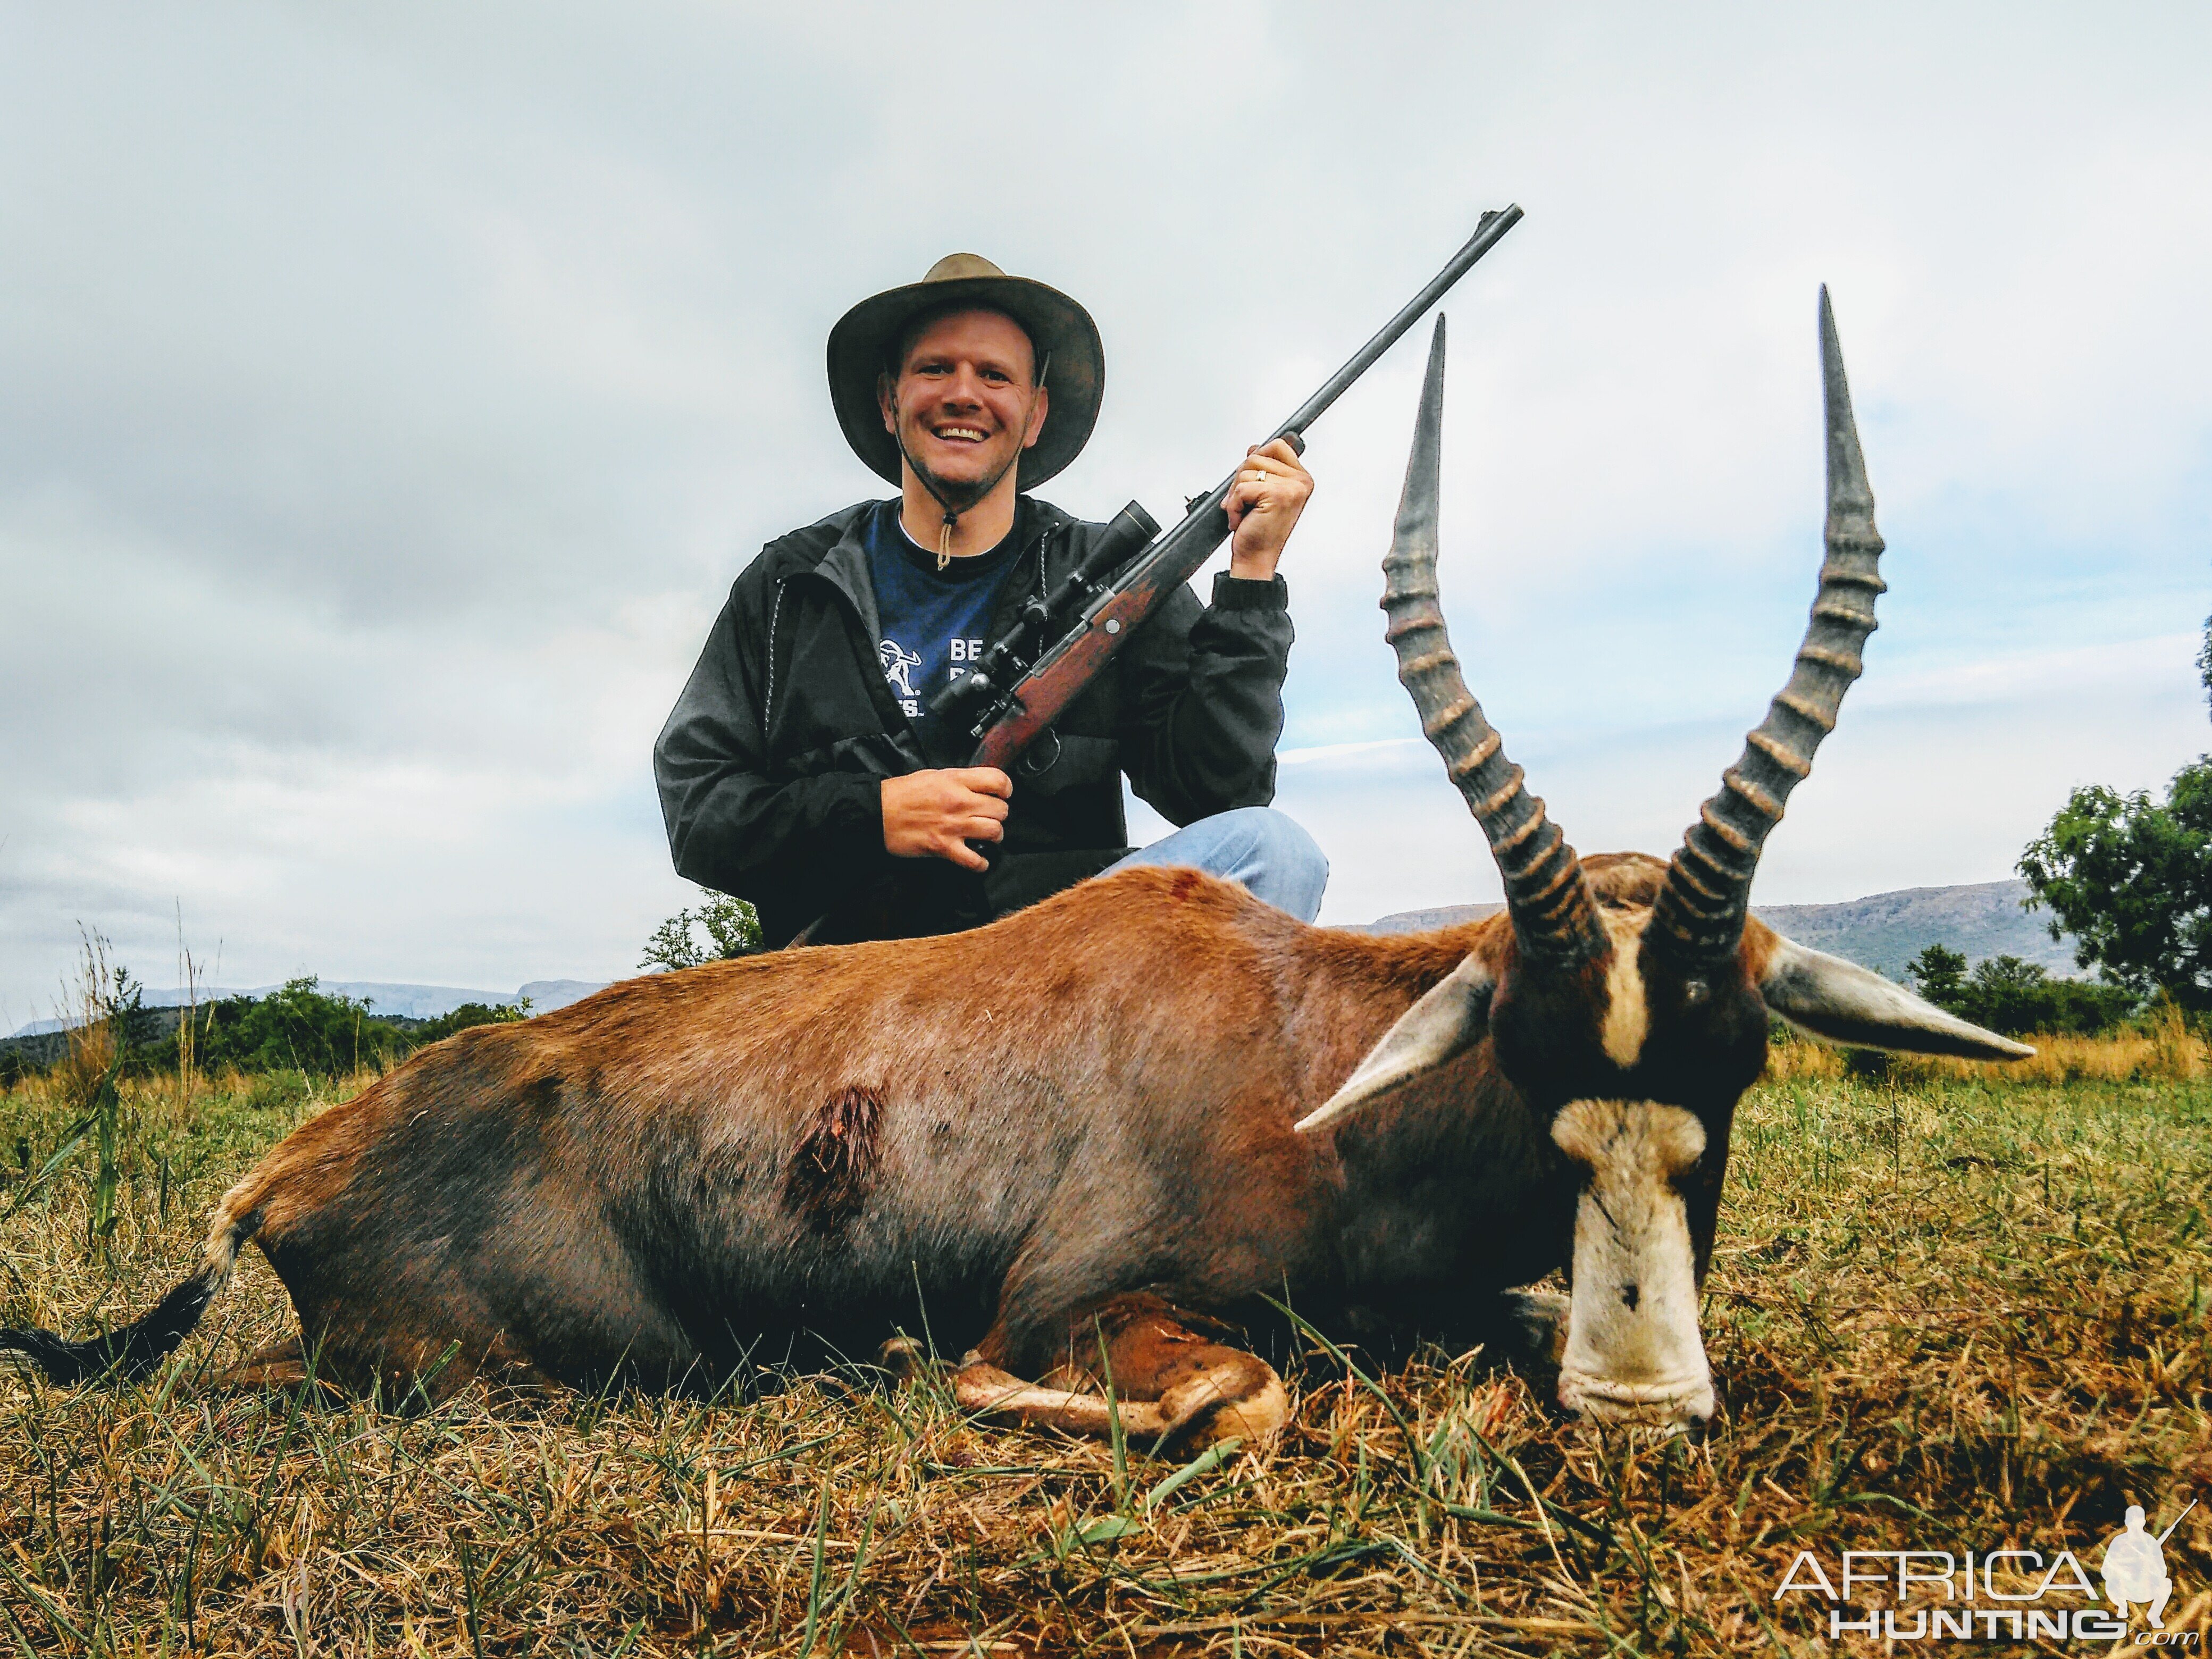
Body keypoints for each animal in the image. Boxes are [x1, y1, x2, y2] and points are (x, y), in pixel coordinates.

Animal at [0, 296, 2026, 1442]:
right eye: (1527, 1054)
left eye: (1734, 1065)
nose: (1642, 1403)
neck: (1294, 1040)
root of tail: (288, 1164)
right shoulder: (1088, 1299)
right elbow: (1237, 1398)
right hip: (462, 1371)